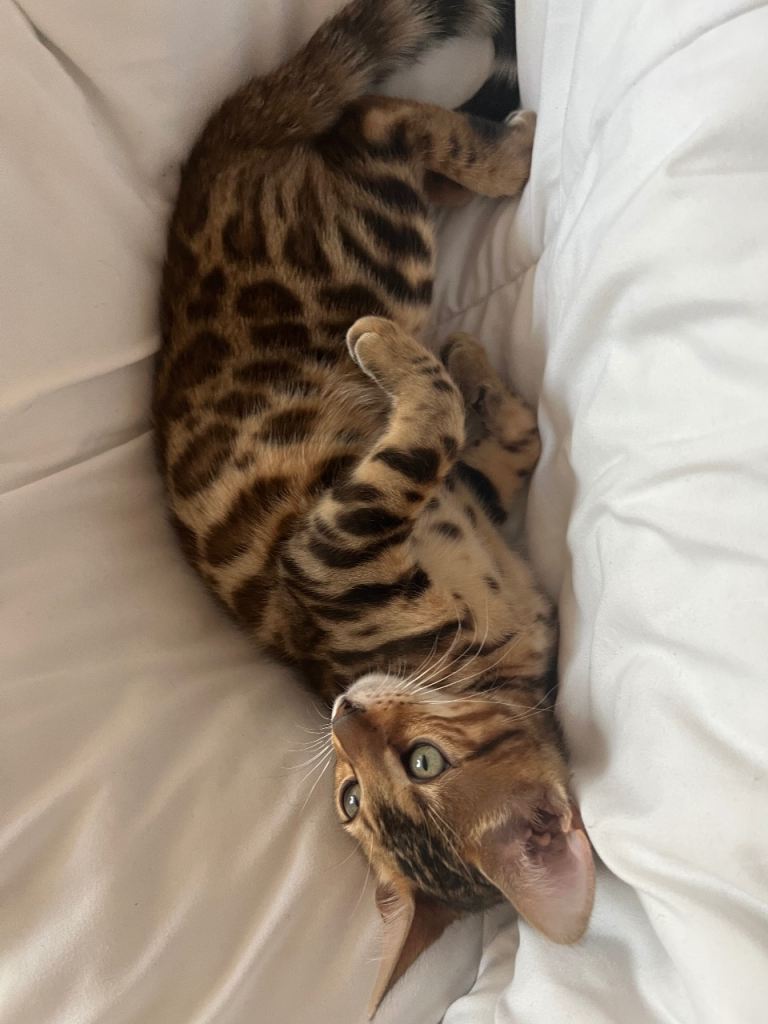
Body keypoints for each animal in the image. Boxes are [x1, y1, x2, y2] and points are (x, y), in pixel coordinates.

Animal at [153, 0, 594, 1013]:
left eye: (421, 764)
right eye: (353, 798)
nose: (341, 714)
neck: (486, 658)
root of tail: (215, 161)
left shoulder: (436, 511)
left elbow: (499, 448)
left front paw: (474, 374)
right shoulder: (334, 546)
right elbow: (438, 431)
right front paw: (453, 371)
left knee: (377, 126)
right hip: (378, 243)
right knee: (377, 126)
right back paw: (501, 166)